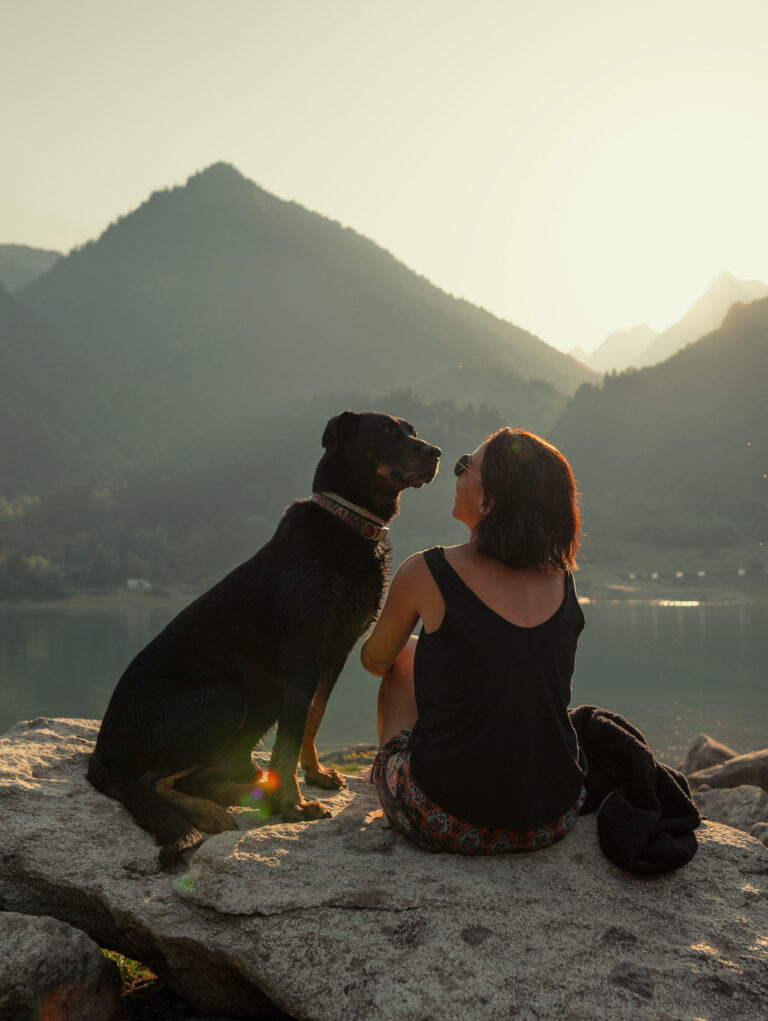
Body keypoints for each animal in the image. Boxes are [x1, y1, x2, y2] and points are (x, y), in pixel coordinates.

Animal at [85, 410, 437, 865]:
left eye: (412, 431)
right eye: (389, 431)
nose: (437, 452)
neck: (348, 523)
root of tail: (102, 751)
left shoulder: (336, 652)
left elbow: (311, 720)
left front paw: (314, 775)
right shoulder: (303, 652)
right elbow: (288, 741)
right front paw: (293, 804)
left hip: (261, 695)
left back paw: (249, 793)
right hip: (228, 695)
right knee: (151, 781)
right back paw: (214, 810)